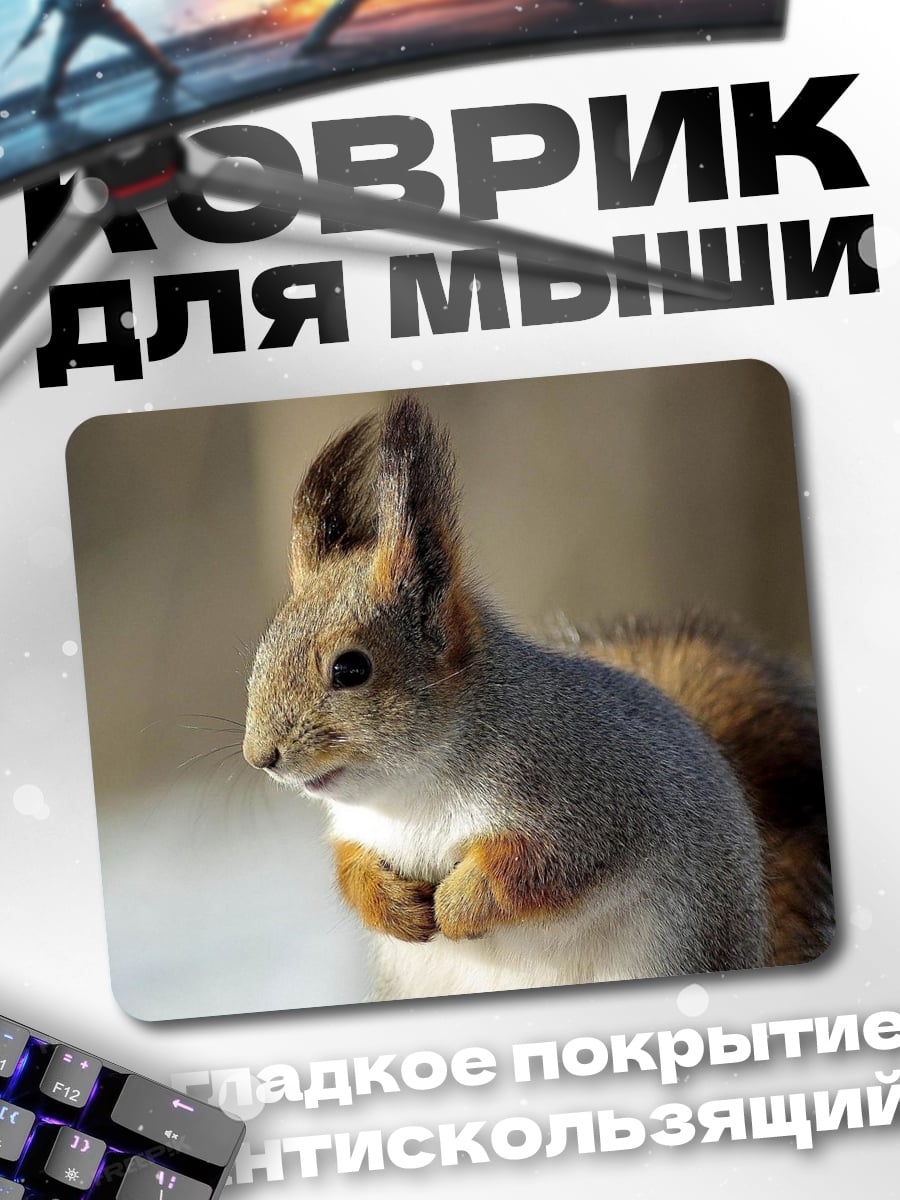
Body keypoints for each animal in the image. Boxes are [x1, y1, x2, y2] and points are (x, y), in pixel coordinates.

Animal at [242, 394, 832, 1000]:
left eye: (351, 668)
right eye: (262, 651)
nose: (260, 757)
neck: (412, 790)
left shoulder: (590, 805)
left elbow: (535, 869)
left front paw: (456, 906)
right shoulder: (356, 831)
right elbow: (350, 869)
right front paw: (396, 908)